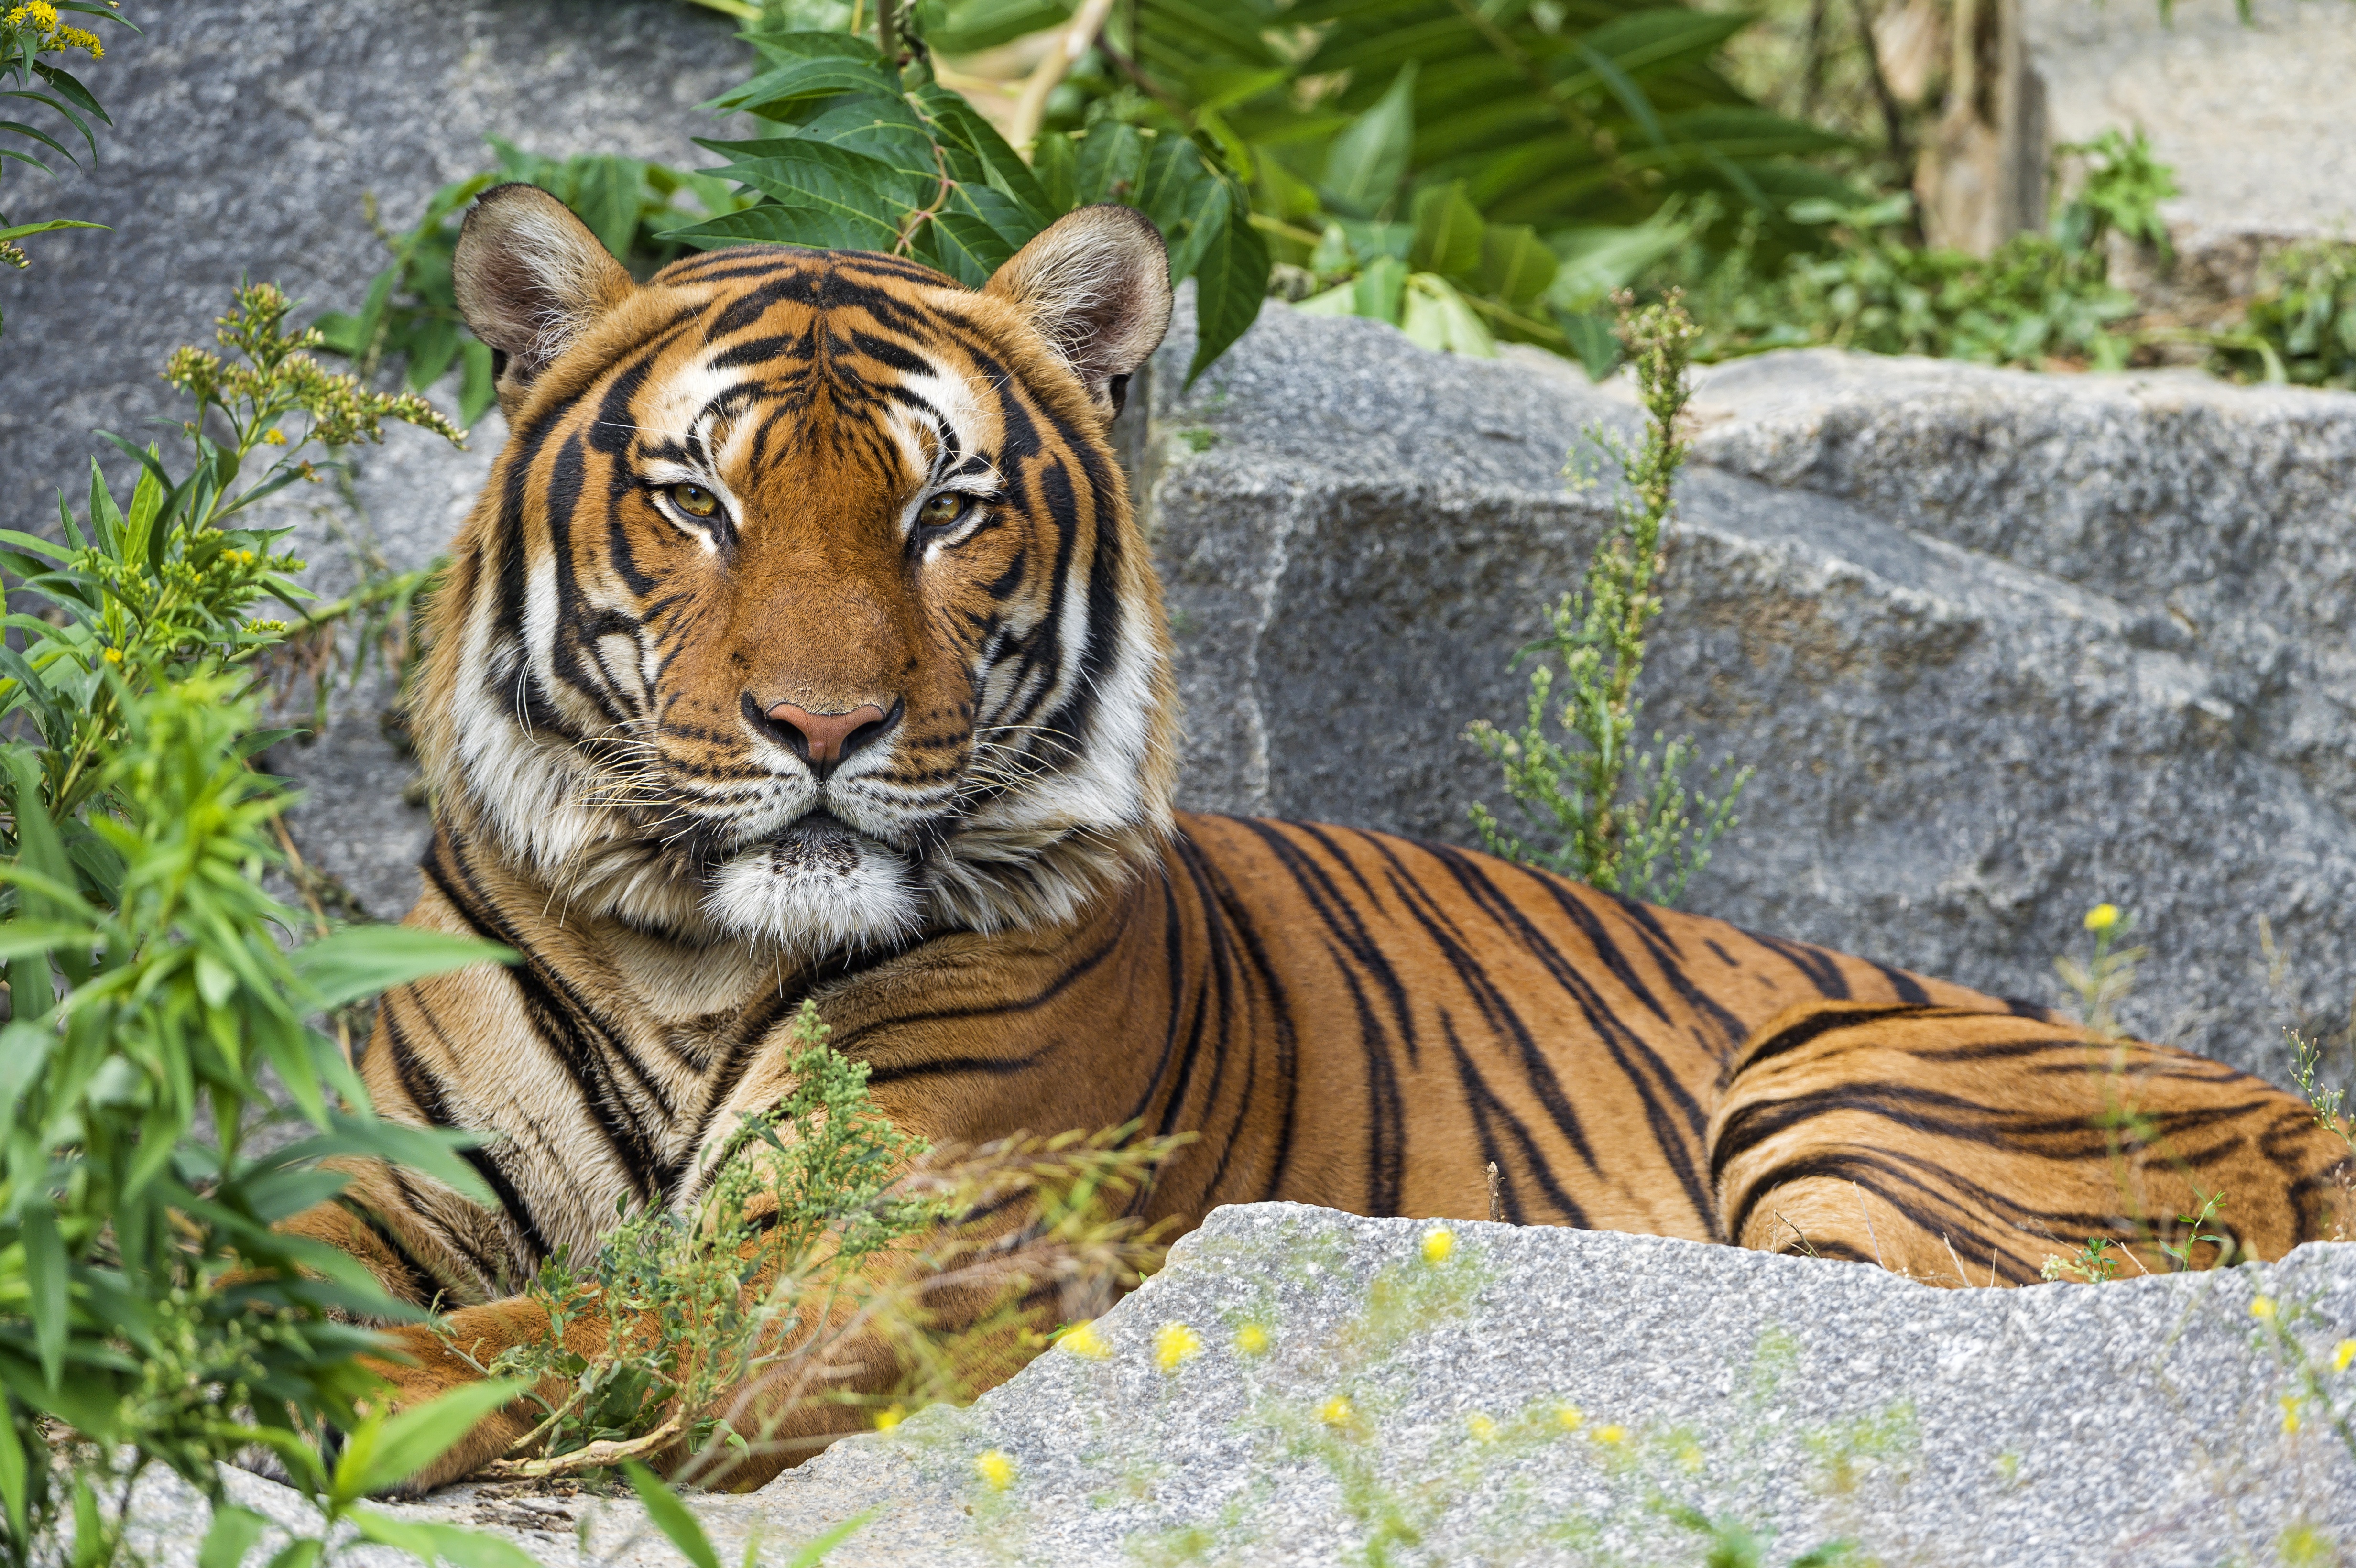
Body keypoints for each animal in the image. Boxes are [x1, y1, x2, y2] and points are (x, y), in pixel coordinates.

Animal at [290, 184, 2356, 1488]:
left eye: (945, 507)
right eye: (694, 501)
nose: (822, 728)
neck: (689, 955)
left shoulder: (897, 1242)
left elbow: (585, 1328)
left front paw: (349, 1390)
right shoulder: (388, 1170)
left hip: (1845, 1079)